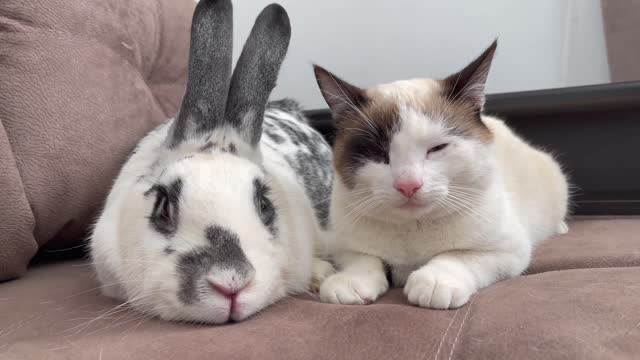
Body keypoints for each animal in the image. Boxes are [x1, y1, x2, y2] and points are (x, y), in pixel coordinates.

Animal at [312, 40, 568, 310]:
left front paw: (434, 282)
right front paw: (350, 281)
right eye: (378, 153)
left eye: (437, 148)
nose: (408, 185)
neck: (413, 230)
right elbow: (363, 259)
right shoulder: (343, 247)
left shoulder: (508, 251)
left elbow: (457, 257)